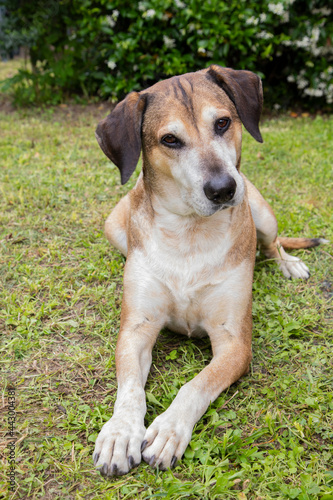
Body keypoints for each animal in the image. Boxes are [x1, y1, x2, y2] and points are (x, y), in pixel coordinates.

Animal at [92, 64, 326, 474]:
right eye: (169, 139)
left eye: (222, 122)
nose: (223, 188)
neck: (189, 234)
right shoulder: (136, 330)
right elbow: (131, 388)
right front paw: (120, 432)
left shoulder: (234, 342)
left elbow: (196, 384)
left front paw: (169, 429)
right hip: (114, 226)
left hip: (262, 212)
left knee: (272, 244)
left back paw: (289, 262)